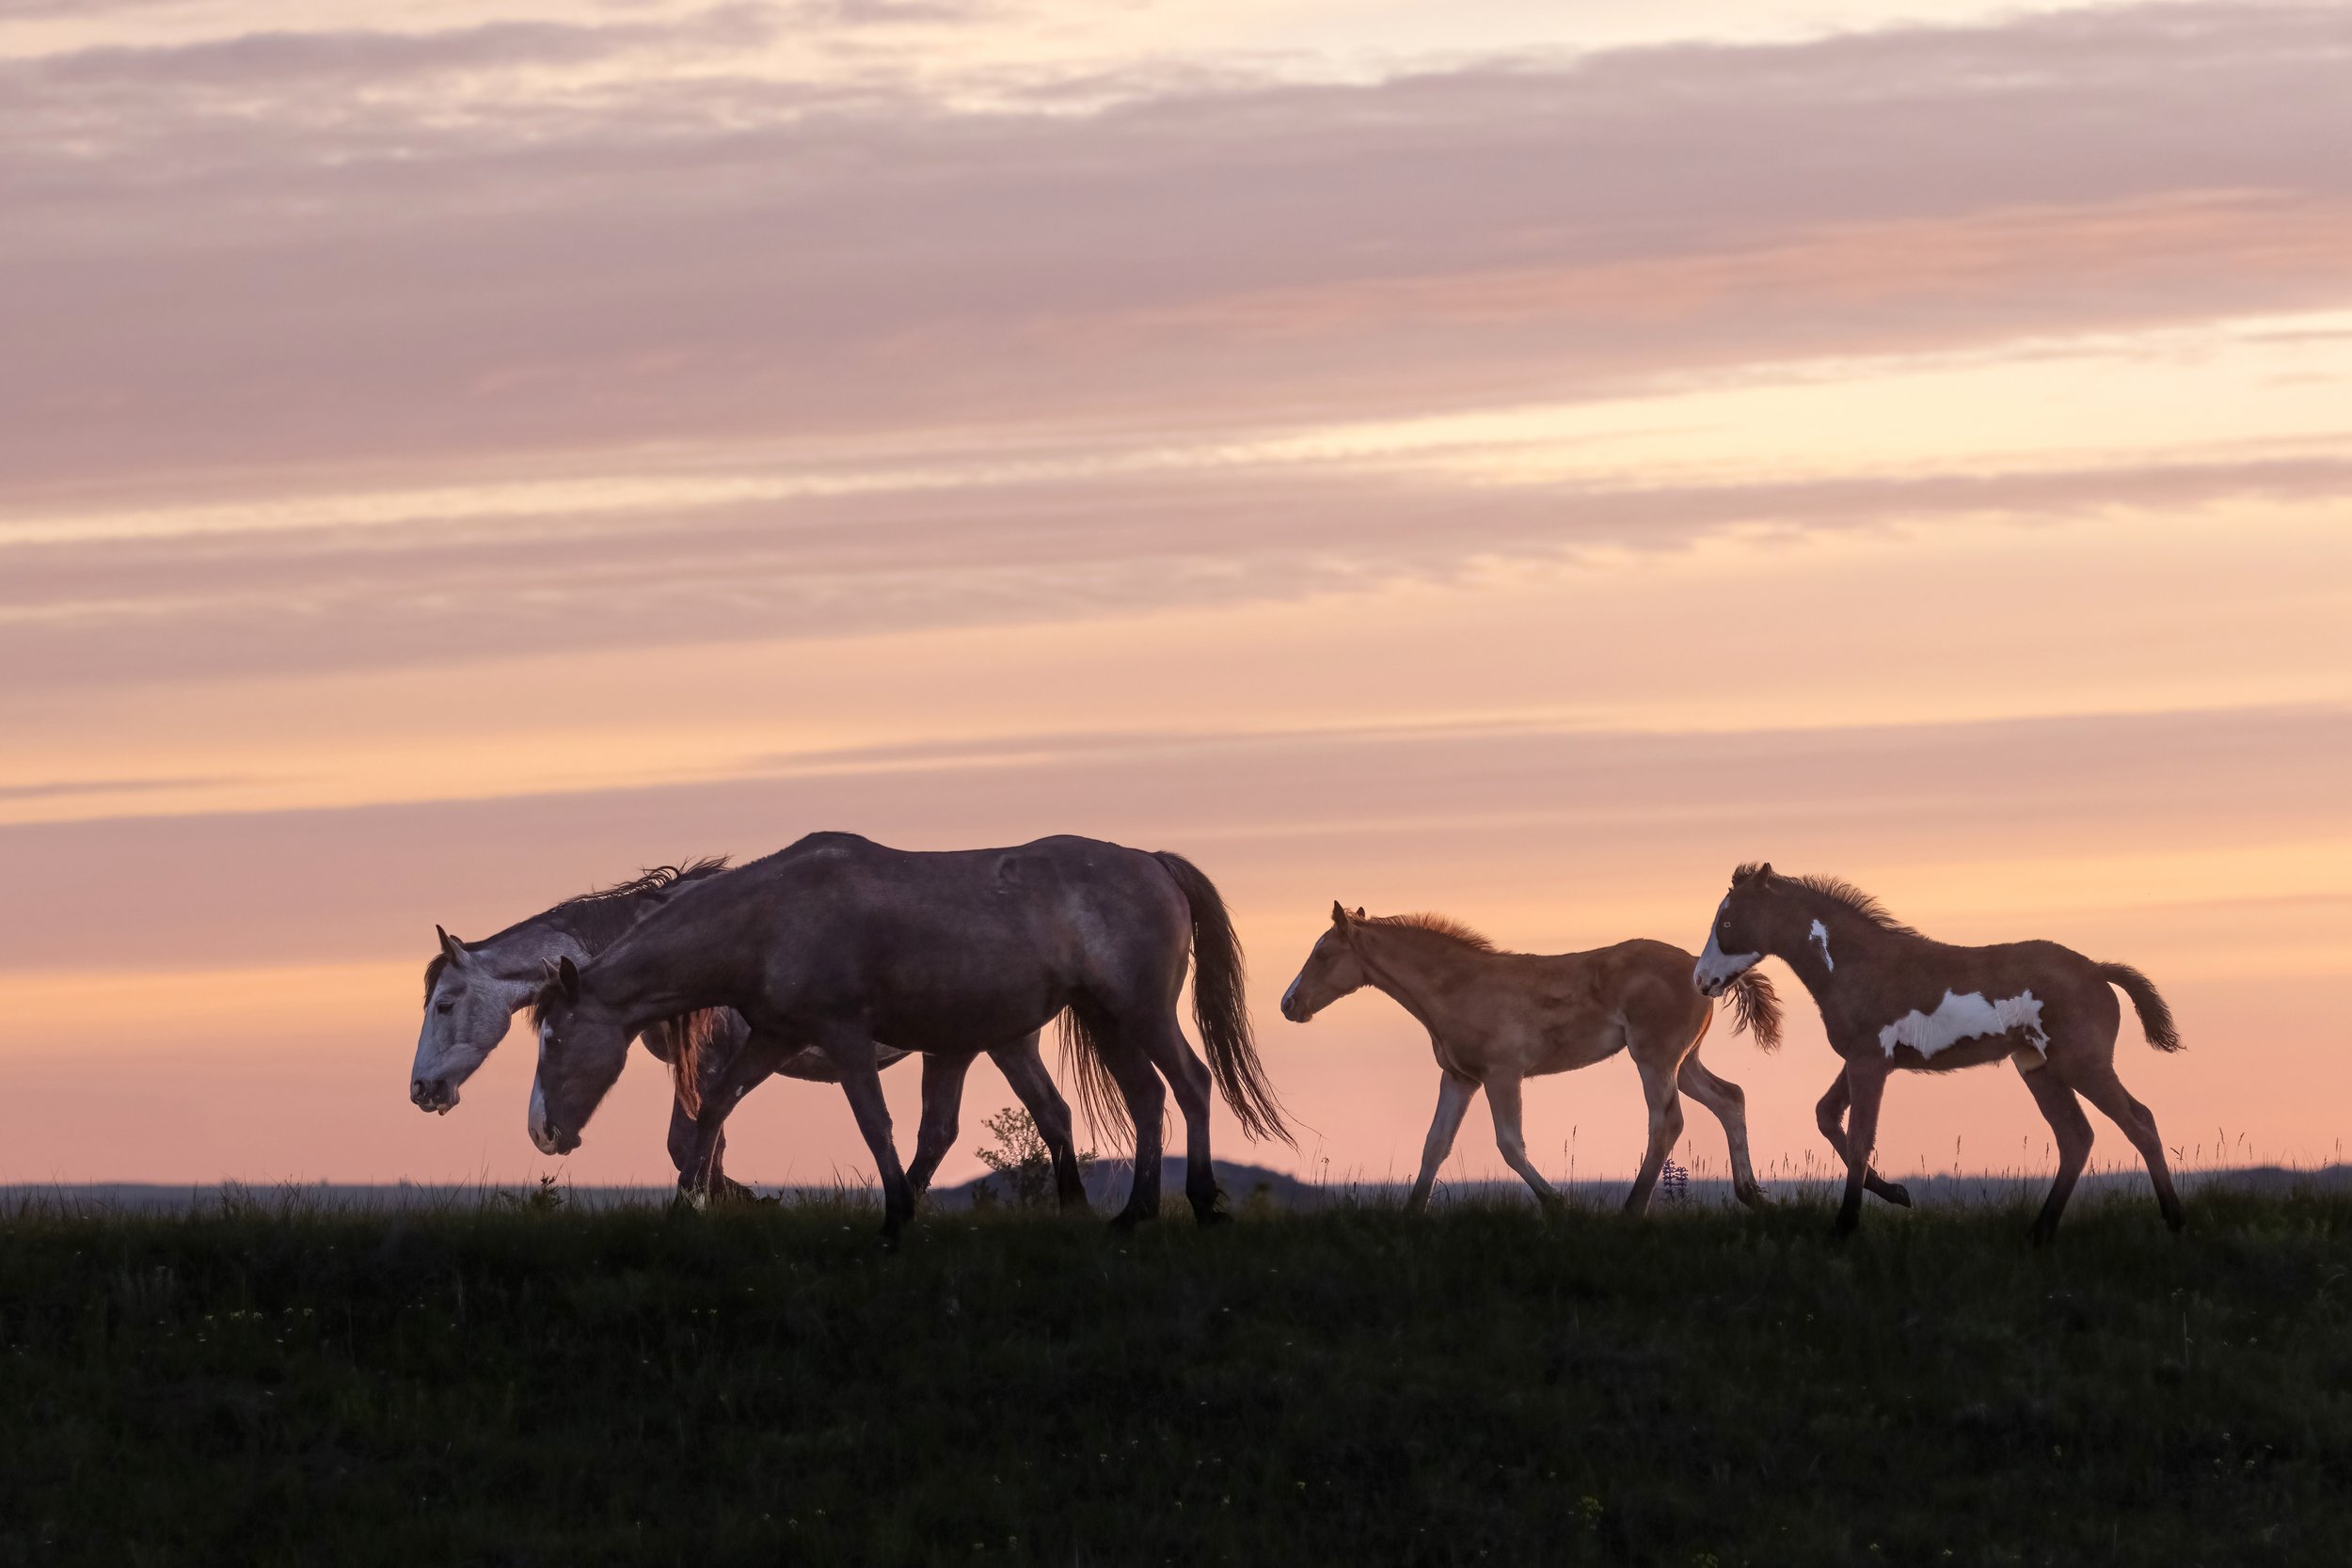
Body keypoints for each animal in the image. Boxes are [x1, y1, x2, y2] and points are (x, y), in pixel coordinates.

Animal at [411, 860, 1082, 1203]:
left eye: (444, 1004)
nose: (421, 1090)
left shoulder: (713, 1060)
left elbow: (697, 1142)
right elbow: (700, 1139)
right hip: (966, 1049)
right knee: (962, 1128)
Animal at [527, 832, 1298, 1241]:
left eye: (555, 1039)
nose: (541, 1130)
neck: (773, 915)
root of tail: (1152, 860)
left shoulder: (844, 1037)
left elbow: (877, 1125)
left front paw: (895, 1216)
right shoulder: (773, 1037)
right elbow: (713, 1109)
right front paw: (684, 1204)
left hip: (1140, 1013)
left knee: (1190, 1085)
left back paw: (1200, 1201)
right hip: (1106, 1020)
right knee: (1144, 1099)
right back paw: (1132, 1214)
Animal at [1279, 902, 1806, 1222]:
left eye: (1322, 954)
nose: (1289, 1004)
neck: (1460, 986)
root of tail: (1705, 973)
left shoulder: (1502, 1074)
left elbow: (1510, 1144)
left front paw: (1559, 1203)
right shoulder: (1460, 1077)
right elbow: (1434, 1144)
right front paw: (1411, 1213)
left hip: (1655, 1058)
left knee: (1667, 1122)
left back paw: (1632, 1209)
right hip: (1686, 1061)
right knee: (1729, 1099)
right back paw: (1752, 1196)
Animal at [1693, 864, 2183, 1241]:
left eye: (1728, 924)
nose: (1702, 980)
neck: (1858, 966)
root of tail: (2099, 970)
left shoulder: (1870, 1062)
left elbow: (1859, 1138)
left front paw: (1845, 1226)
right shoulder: (1862, 1060)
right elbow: (1827, 1116)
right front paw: (1897, 1193)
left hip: (2082, 1064)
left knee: (2140, 1123)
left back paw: (2174, 1220)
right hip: (2039, 1068)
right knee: (2076, 1137)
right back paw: (2038, 1233)